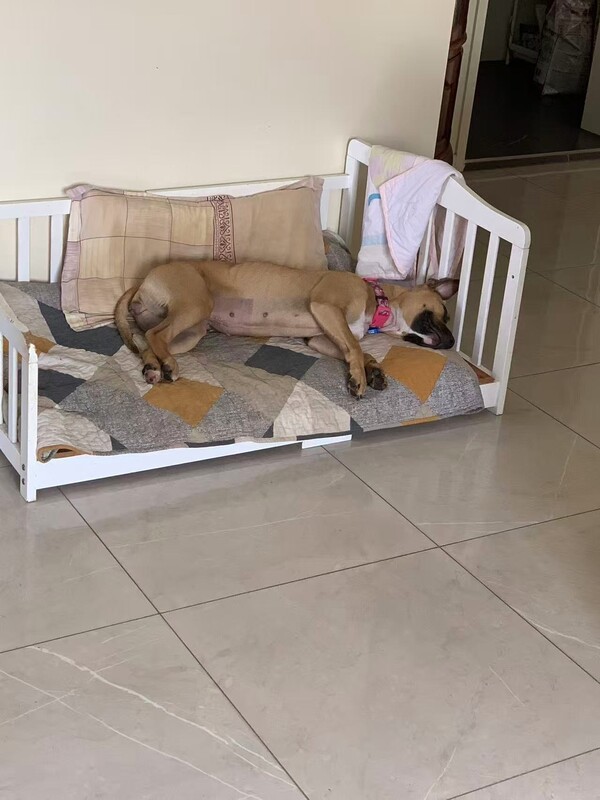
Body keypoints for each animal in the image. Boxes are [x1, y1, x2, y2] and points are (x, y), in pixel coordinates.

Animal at [115, 260, 458, 398]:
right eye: (444, 313)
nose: (452, 342)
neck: (377, 299)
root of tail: (142, 282)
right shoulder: (326, 308)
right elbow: (355, 346)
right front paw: (360, 377)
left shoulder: (321, 338)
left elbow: (354, 350)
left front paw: (372, 370)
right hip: (196, 306)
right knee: (156, 336)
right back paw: (168, 367)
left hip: (191, 332)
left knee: (146, 340)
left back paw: (153, 367)